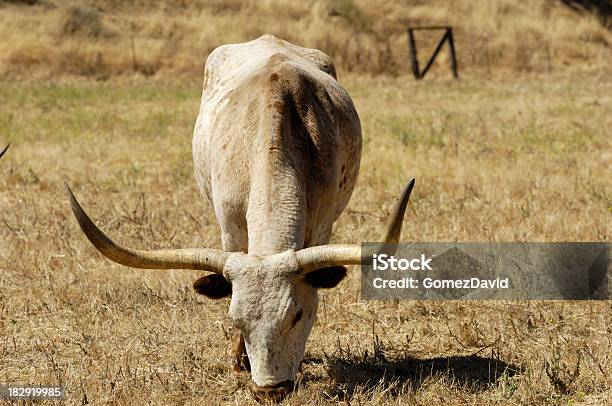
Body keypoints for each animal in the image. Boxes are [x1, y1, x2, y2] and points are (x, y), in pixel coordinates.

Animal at [64, 35, 414, 402]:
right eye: (236, 320)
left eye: (297, 315)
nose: (270, 391)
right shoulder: (230, 228)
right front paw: (239, 361)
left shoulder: (321, 226)